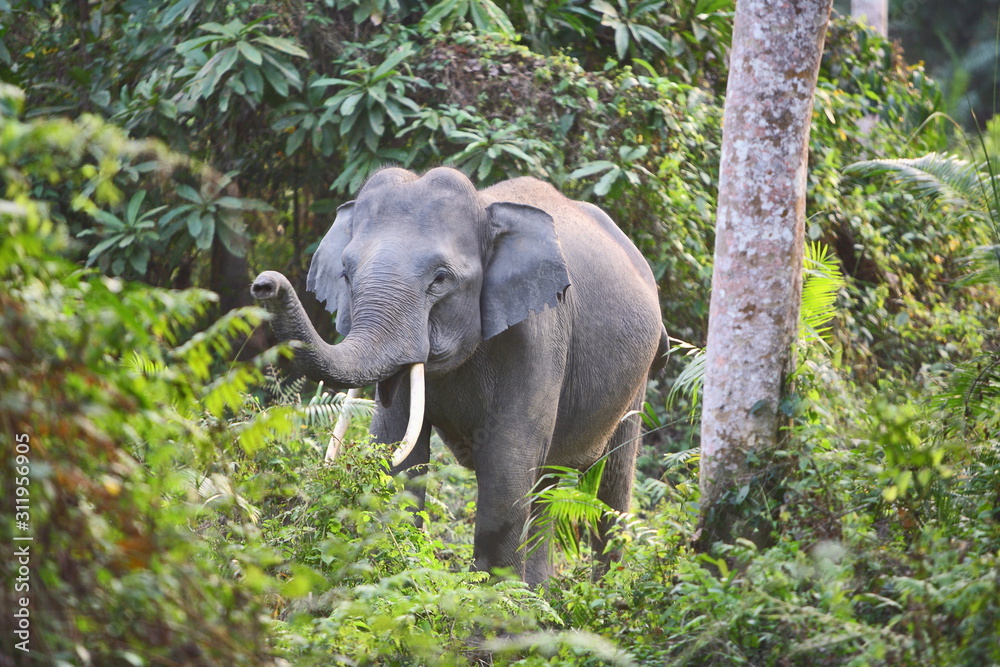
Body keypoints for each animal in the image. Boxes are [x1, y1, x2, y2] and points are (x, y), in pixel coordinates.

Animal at [251, 166, 667, 585]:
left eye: (440, 279)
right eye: (347, 275)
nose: (264, 283)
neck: (486, 210)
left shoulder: (540, 333)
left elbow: (507, 463)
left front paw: (494, 598)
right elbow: (398, 454)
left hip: (639, 375)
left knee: (611, 481)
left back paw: (606, 589)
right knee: (547, 481)